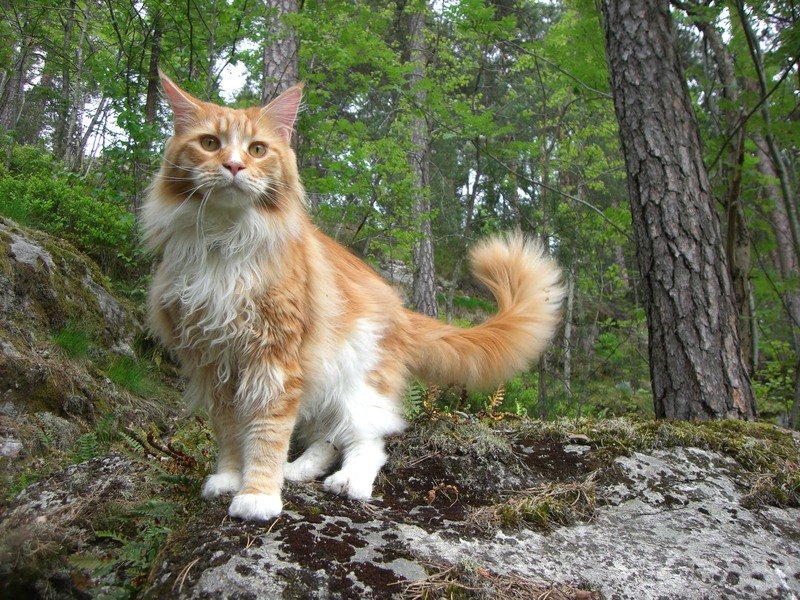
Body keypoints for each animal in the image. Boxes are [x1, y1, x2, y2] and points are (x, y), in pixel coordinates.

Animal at [142, 72, 565, 522]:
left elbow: (267, 432)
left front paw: (258, 494)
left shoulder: (274, 359)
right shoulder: (214, 363)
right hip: (324, 386)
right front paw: (229, 478)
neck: (224, 245)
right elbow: (230, 432)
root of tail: (400, 309)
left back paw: (347, 482)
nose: (234, 166)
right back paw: (297, 470)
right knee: (328, 439)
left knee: (368, 444)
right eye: (209, 144)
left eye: (257, 150)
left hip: (356, 384)